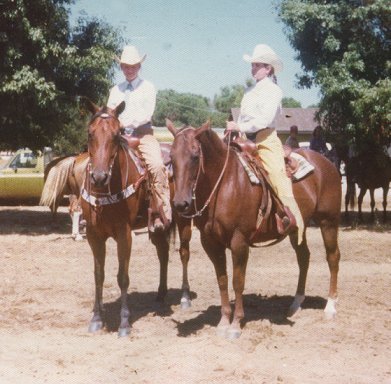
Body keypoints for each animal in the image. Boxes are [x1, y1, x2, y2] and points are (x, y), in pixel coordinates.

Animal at [168, 120, 344, 340]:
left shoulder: (239, 241)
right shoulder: (210, 243)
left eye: (194, 156)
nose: (180, 204)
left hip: (329, 222)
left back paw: (330, 307)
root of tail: (326, 163)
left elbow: (238, 281)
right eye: (171, 157)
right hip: (297, 229)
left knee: (332, 257)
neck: (225, 183)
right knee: (304, 258)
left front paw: (235, 324)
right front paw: (223, 322)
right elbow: (222, 280)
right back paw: (295, 304)